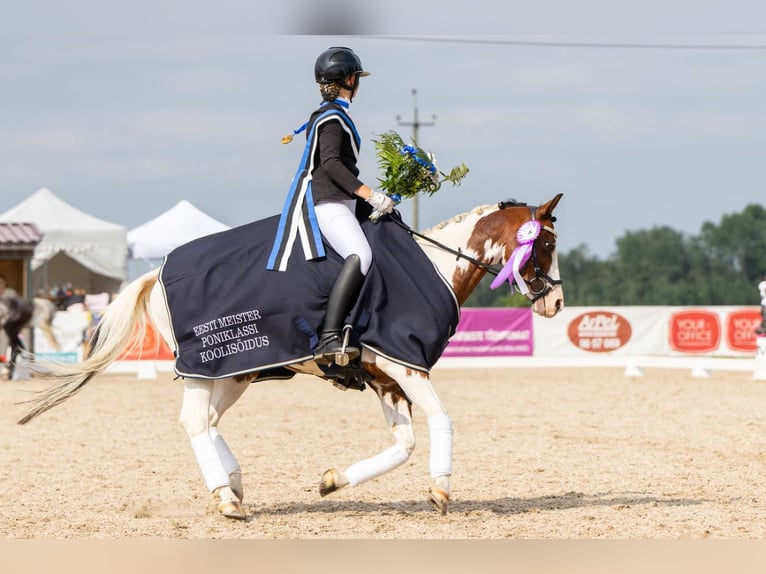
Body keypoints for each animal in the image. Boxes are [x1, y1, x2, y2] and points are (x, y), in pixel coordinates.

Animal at [16, 195, 564, 520]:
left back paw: (234, 484)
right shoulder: (405, 365)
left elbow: (404, 445)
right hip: (205, 368)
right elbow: (443, 420)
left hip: (233, 372)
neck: (430, 265)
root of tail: (160, 272)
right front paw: (442, 492)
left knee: (209, 421)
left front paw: (333, 481)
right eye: (547, 244)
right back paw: (225, 499)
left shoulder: (385, 377)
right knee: (195, 420)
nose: (556, 302)